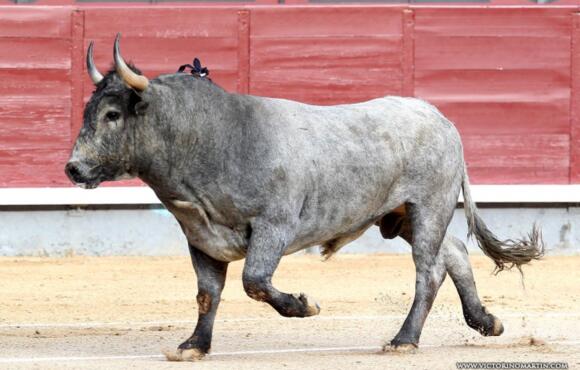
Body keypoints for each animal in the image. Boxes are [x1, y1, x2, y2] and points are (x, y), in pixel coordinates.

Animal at [64, 35, 544, 362]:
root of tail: (439, 117)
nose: (73, 168)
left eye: (113, 114)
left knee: (428, 271)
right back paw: (485, 322)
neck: (213, 139)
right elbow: (207, 294)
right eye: (89, 112)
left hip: (430, 205)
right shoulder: (200, 236)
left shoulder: (273, 226)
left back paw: (403, 340)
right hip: (402, 215)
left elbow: (254, 281)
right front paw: (193, 346)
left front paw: (304, 305)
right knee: (456, 253)